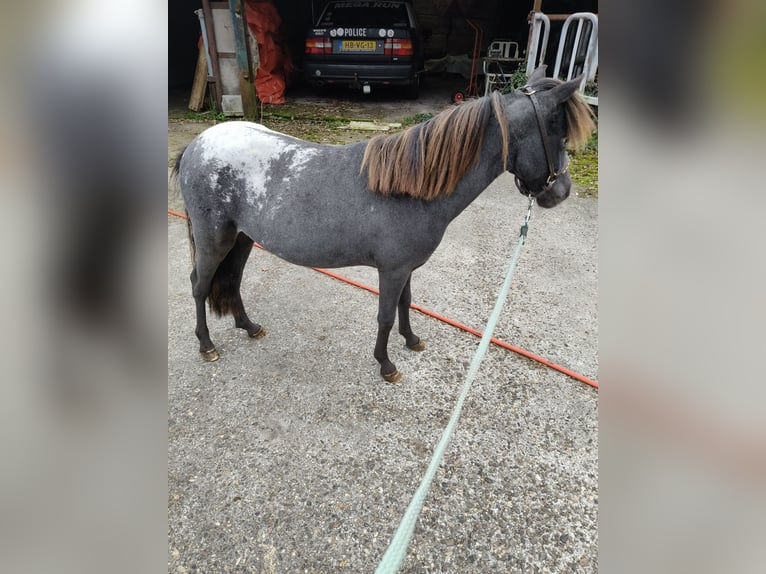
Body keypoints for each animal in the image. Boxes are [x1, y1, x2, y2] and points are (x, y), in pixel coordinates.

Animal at [172, 67, 595, 383]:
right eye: (557, 132)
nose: (561, 193)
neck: (411, 188)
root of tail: (196, 145)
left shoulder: (405, 268)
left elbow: (406, 304)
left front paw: (412, 340)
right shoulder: (391, 271)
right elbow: (386, 315)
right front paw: (386, 364)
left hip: (242, 239)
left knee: (231, 281)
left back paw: (249, 326)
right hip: (213, 240)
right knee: (199, 285)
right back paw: (207, 346)